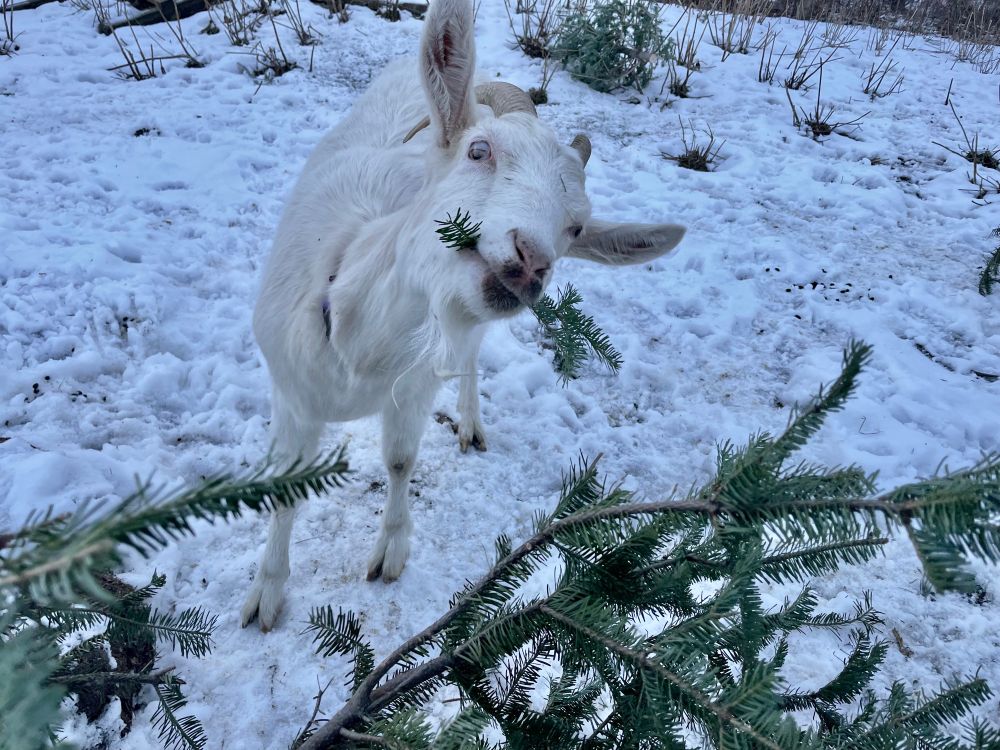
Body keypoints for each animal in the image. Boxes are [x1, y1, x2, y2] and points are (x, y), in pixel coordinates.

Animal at [240, 0, 687, 631]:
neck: (357, 343)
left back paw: (472, 423)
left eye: (576, 226)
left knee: (471, 357)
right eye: (480, 151)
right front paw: (267, 595)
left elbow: (400, 461)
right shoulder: (291, 392)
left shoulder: (413, 383)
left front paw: (391, 552)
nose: (531, 259)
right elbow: (285, 487)